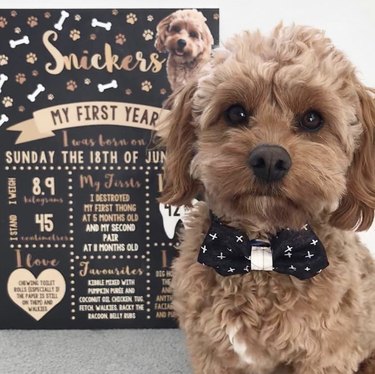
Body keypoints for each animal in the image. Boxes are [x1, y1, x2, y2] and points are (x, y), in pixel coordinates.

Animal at [158, 24, 375, 372]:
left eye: (312, 119)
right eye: (235, 112)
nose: (270, 159)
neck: (262, 252)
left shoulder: (326, 356)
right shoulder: (211, 352)